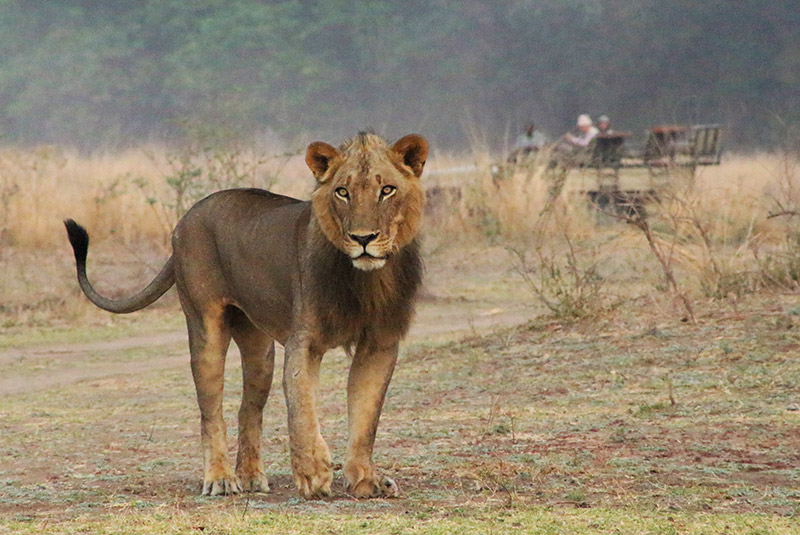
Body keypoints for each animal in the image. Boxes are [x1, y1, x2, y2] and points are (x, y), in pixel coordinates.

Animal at [65, 132, 428, 500]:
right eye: (343, 191)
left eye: (387, 190)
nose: (363, 238)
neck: (366, 279)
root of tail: (186, 217)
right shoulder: (304, 342)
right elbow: (302, 407)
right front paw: (313, 474)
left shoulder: (380, 343)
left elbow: (367, 416)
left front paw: (366, 479)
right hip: (205, 326)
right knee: (210, 411)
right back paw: (221, 479)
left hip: (259, 350)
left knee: (247, 409)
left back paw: (252, 476)